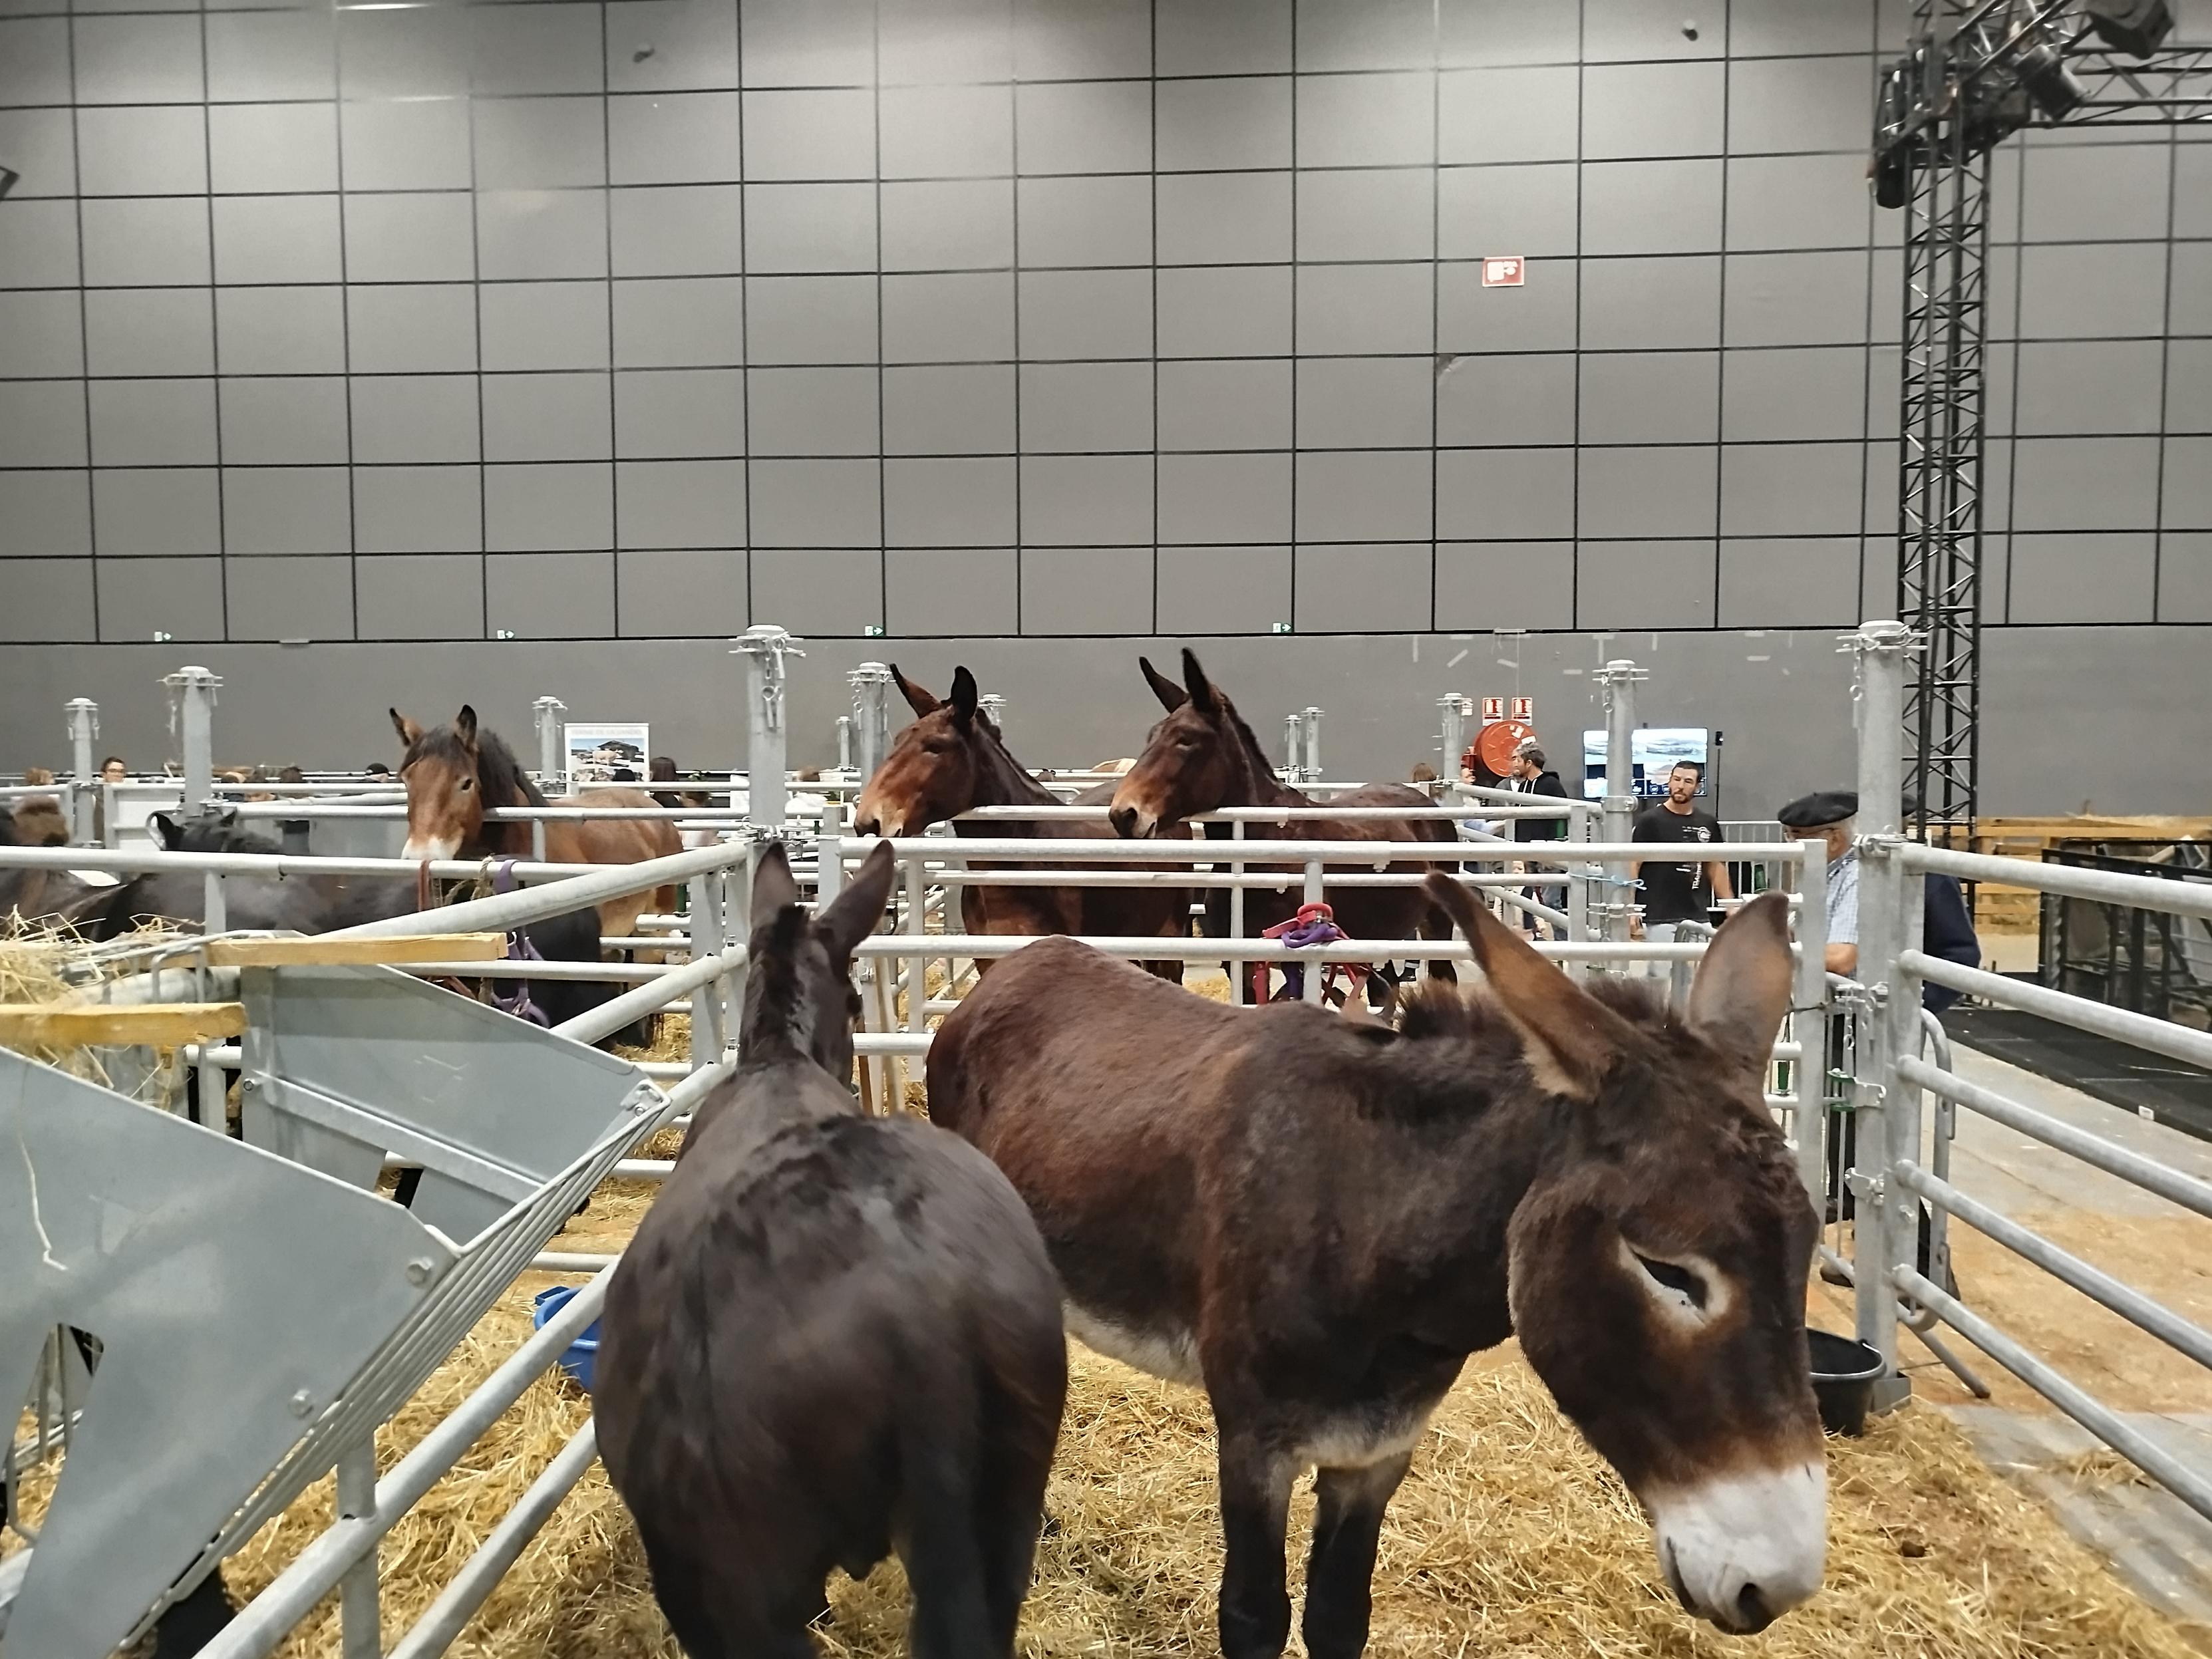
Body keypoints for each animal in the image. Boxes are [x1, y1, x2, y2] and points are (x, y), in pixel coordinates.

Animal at [927, 882, 1825, 1657]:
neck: (1368, 1212)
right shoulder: (1253, 1442)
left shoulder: (1378, 1448)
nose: (1780, 1584)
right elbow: (1252, 1617)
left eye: (1808, 1250)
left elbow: (1337, 1617)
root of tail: (1017, 966)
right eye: (1667, 1269)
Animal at [1109, 649, 1460, 996]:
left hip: (1438, 927)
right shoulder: (1241, 964)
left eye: (1186, 739)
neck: (1263, 851)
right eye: (1151, 736)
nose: (1123, 814)